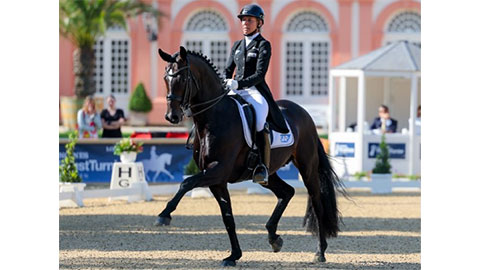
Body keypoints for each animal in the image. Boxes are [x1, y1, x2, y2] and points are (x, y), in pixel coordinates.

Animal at [156, 46, 344, 266]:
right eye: (165, 78)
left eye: (183, 78)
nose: (172, 116)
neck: (214, 118)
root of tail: (305, 114)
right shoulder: (217, 180)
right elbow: (228, 217)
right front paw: (233, 256)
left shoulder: (218, 170)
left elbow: (186, 183)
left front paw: (164, 215)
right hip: (268, 173)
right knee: (286, 192)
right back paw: (273, 237)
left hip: (307, 167)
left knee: (317, 203)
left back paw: (320, 252)